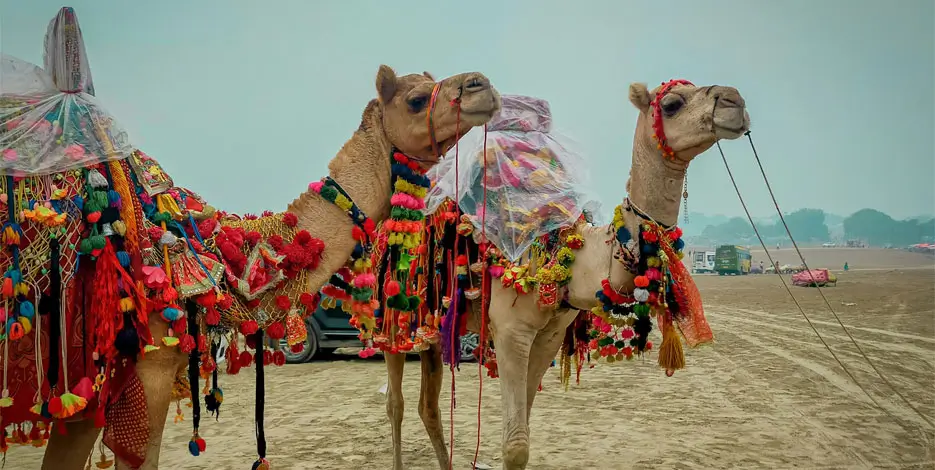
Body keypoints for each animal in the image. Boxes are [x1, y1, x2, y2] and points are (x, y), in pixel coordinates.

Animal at [382, 80, 750, 469]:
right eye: (672, 103)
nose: (735, 101)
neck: (572, 256)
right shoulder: (510, 330)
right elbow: (515, 445)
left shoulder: (550, 334)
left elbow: (524, 430)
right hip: (394, 315)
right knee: (396, 403)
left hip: (436, 325)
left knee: (428, 405)